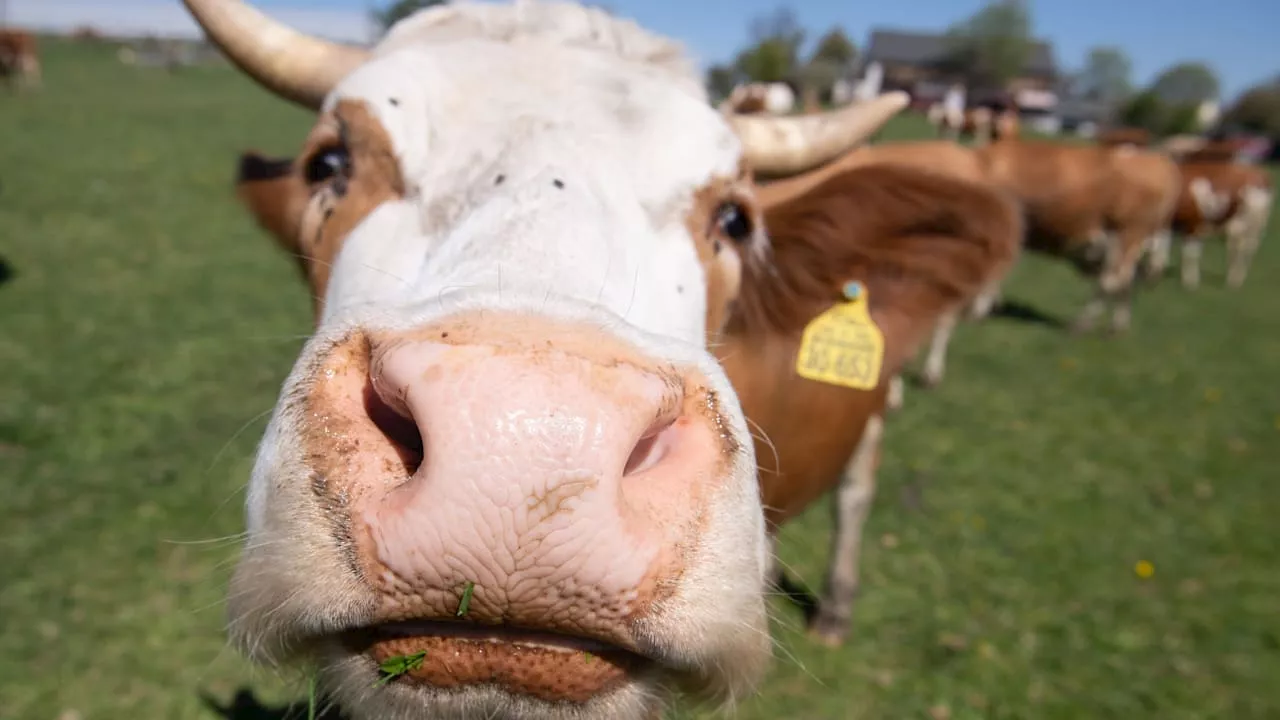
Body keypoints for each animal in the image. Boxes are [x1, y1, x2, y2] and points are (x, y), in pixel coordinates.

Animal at [1146, 161, 1274, 286]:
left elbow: (1190, 254)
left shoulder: (1194, 224)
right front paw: (1157, 272)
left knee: (1242, 249)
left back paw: (1234, 281)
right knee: (1245, 248)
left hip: (1247, 224)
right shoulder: (1168, 225)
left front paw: (1190, 282)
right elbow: (1162, 248)